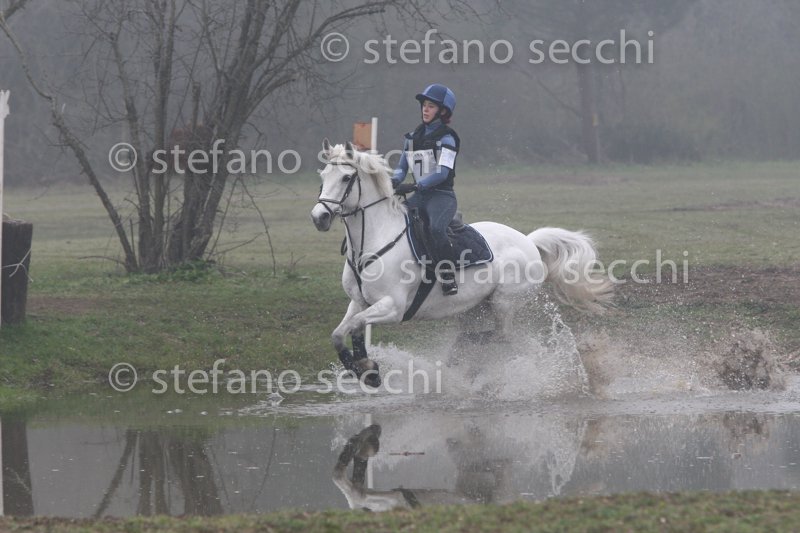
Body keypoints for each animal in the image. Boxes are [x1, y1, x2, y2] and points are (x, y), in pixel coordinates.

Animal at [311, 140, 613, 388]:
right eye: (324, 176)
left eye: (346, 177)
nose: (319, 217)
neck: (373, 241)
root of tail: (528, 241)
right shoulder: (359, 302)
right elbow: (340, 333)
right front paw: (366, 371)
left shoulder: (393, 307)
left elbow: (356, 326)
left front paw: (367, 367)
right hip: (474, 308)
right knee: (497, 337)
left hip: (504, 302)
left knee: (503, 336)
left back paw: (463, 352)